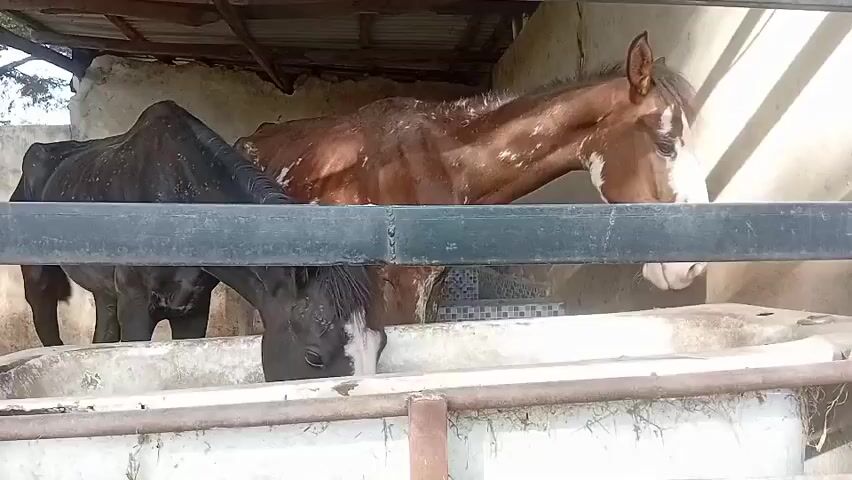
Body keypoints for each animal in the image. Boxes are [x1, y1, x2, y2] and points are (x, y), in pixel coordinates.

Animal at [11, 100, 385, 382]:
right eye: (313, 357)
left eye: (380, 345)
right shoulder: (136, 306)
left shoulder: (193, 308)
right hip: (39, 280)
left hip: (105, 293)